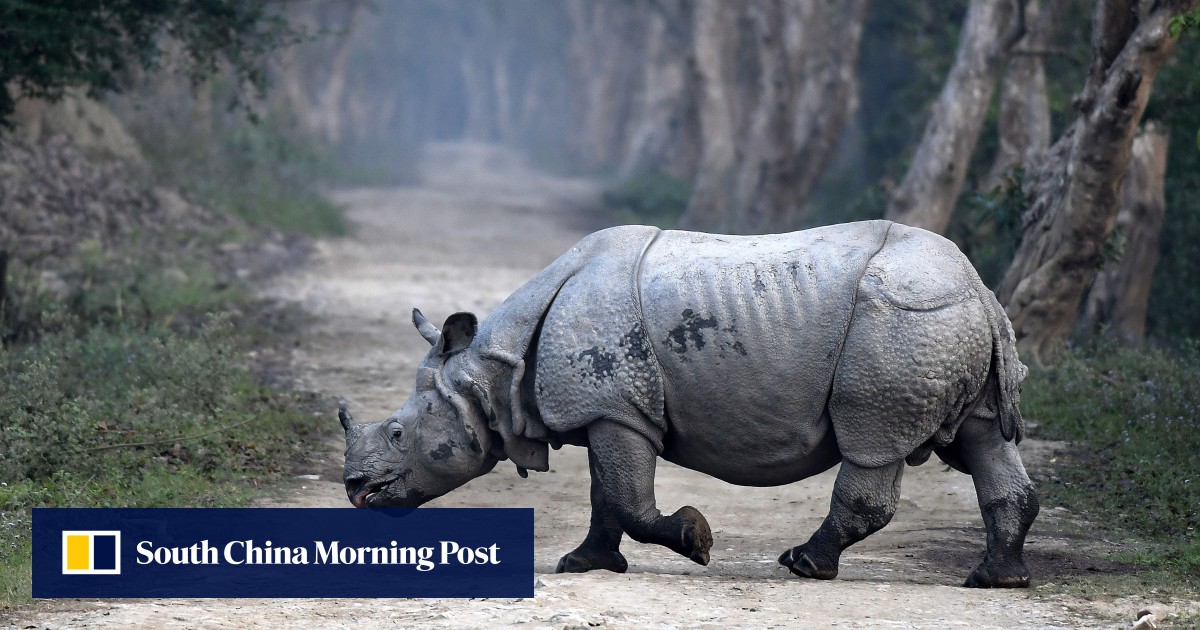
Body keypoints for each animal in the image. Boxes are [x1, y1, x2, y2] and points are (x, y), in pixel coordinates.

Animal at [340, 220, 1039, 588]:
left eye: (399, 433)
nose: (354, 488)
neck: (492, 368)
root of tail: (981, 289)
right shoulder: (608, 409)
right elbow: (604, 496)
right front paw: (583, 565)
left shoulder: (617, 406)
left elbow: (626, 496)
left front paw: (695, 540)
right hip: (944, 326)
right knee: (984, 439)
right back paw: (995, 580)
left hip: (902, 326)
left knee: (873, 442)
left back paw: (803, 565)